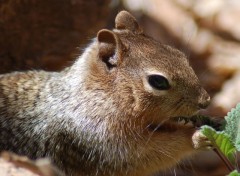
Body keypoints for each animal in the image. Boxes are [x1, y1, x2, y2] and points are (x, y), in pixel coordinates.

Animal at [0, 11, 210, 176]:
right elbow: (150, 153)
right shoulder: (102, 141)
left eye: (178, 54)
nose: (205, 101)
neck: (97, 95)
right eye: (158, 81)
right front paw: (195, 137)